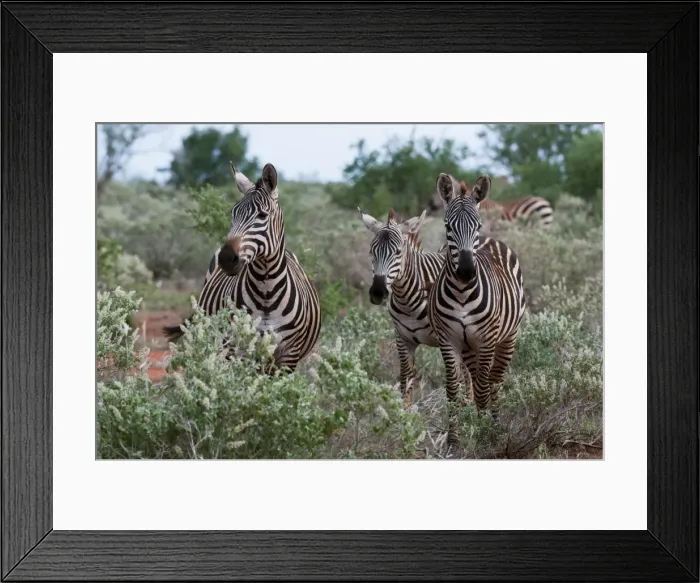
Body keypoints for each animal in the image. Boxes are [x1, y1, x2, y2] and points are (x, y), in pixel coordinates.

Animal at [164, 162, 321, 373]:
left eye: (262, 215)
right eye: (233, 214)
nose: (226, 258)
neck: (266, 293)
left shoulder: (289, 355)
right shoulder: (239, 350)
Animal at [427, 173, 526, 453]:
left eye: (477, 225)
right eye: (448, 226)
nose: (466, 272)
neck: (462, 292)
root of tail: (490, 241)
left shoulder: (487, 340)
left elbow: (482, 387)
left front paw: (485, 436)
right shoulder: (448, 340)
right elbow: (453, 389)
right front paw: (454, 440)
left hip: (507, 337)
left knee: (494, 380)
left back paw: (494, 424)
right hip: (468, 345)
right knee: (474, 378)